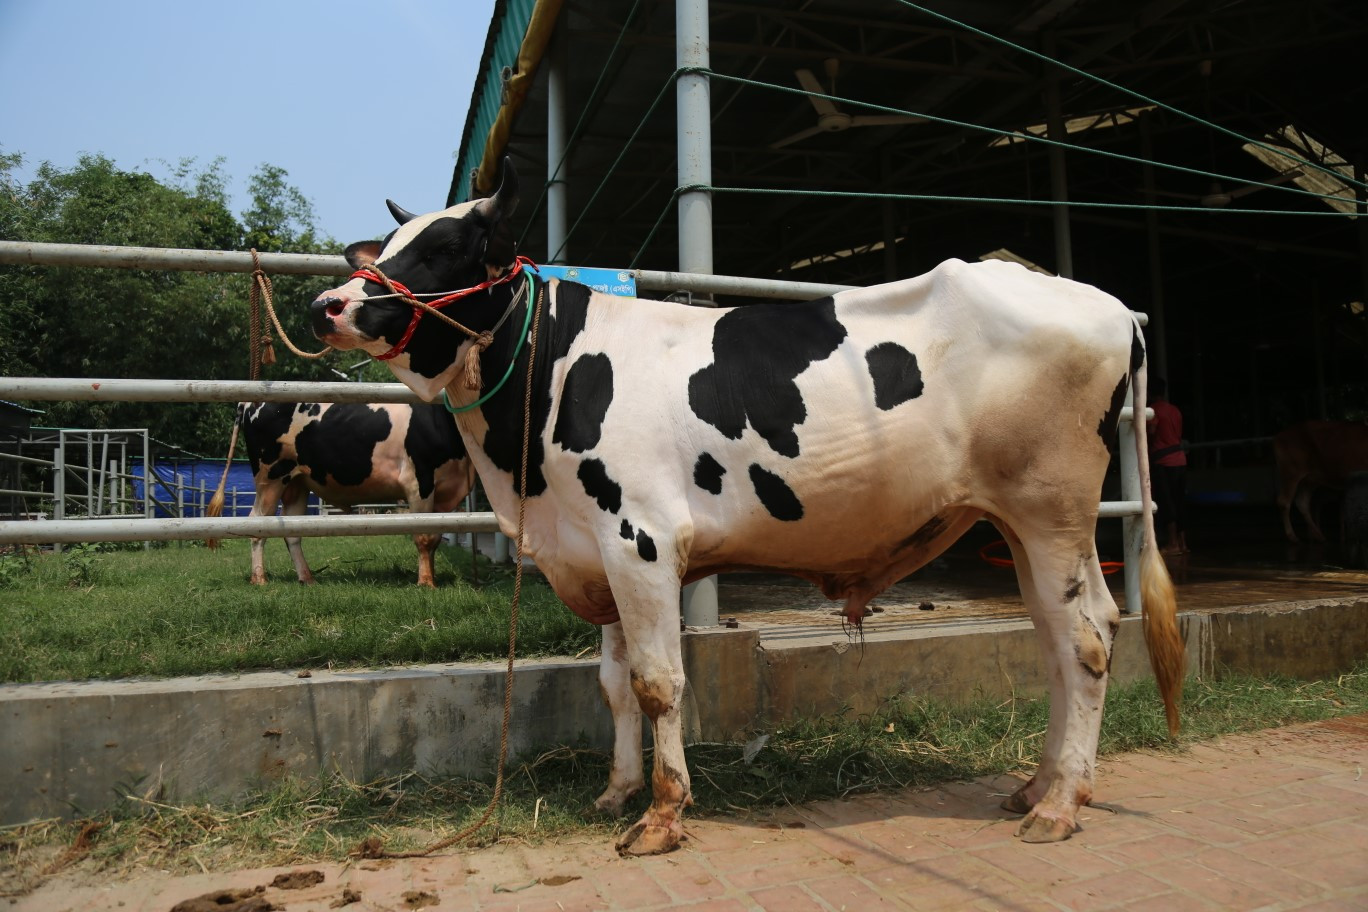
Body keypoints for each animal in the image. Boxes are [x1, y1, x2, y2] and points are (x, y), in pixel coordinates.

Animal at [207, 402, 475, 587]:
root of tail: (249, 404)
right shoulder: (419, 481)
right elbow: (424, 537)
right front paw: (426, 582)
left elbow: (436, 537)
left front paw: (432, 575)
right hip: (271, 477)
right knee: (257, 524)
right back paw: (259, 578)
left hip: (297, 483)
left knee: (292, 533)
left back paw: (307, 578)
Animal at [309, 159, 1183, 855]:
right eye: (387, 246)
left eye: (443, 250)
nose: (329, 303)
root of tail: (1112, 307)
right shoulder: (595, 548)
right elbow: (613, 683)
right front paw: (617, 791)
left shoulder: (641, 539)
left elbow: (659, 683)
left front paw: (663, 817)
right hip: (1018, 521)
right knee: (1058, 641)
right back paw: (1037, 785)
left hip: (1053, 508)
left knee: (1087, 638)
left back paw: (1061, 804)